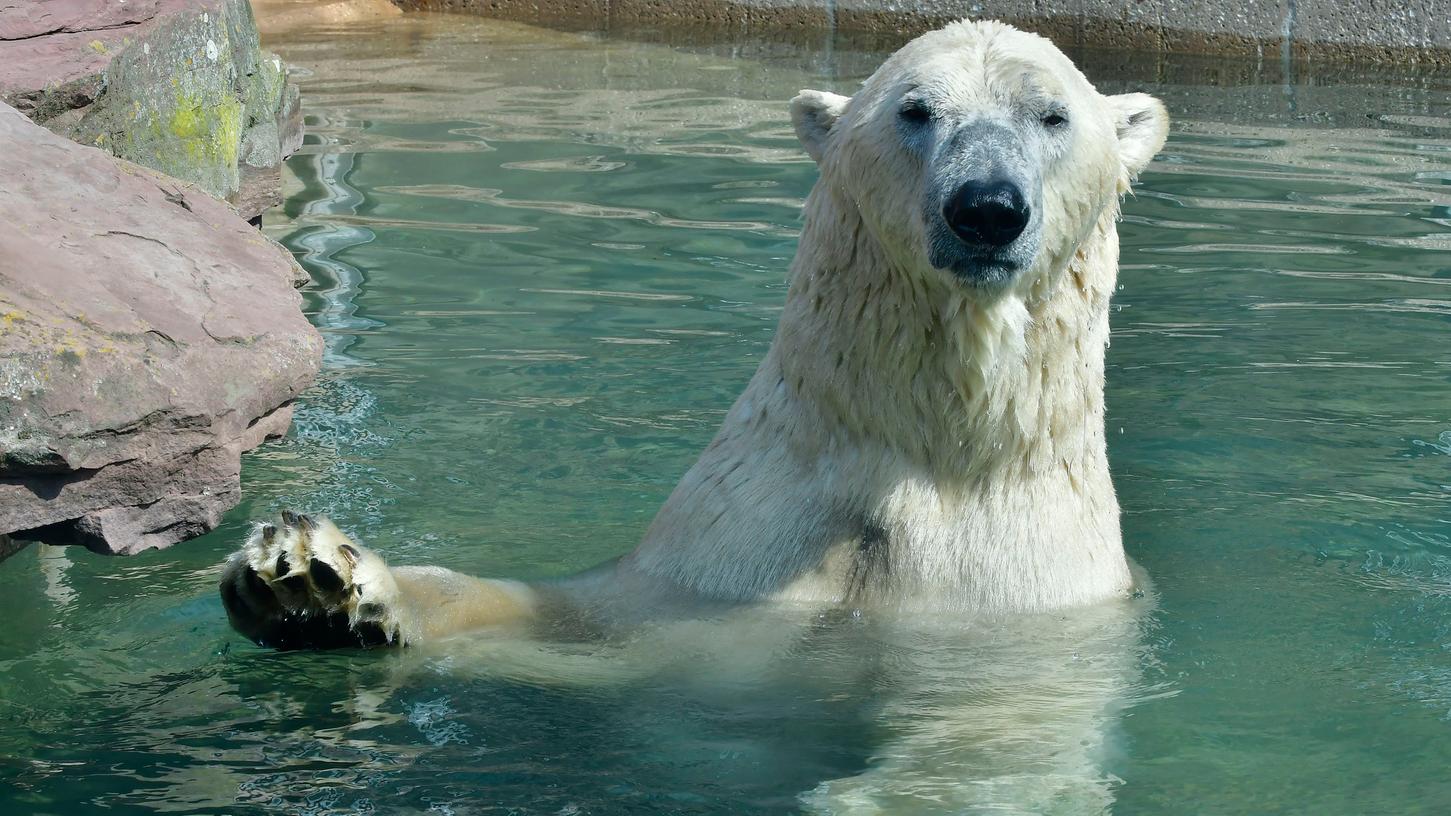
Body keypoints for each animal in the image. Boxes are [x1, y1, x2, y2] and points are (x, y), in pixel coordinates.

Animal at [217, 20, 1166, 653]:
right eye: (915, 110)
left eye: (1051, 116)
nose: (986, 207)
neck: (936, 448)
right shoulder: (721, 561)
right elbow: (569, 617)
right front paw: (307, 578)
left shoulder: (1021, 590)